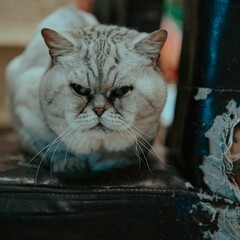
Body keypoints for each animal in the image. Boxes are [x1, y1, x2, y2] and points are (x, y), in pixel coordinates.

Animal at [5, 4, 167, 173]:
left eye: (122, 90)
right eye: (79, 89)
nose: (99, 110)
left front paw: (115, 162)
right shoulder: (24, 123)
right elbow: (50, 151)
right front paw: (69, 164)